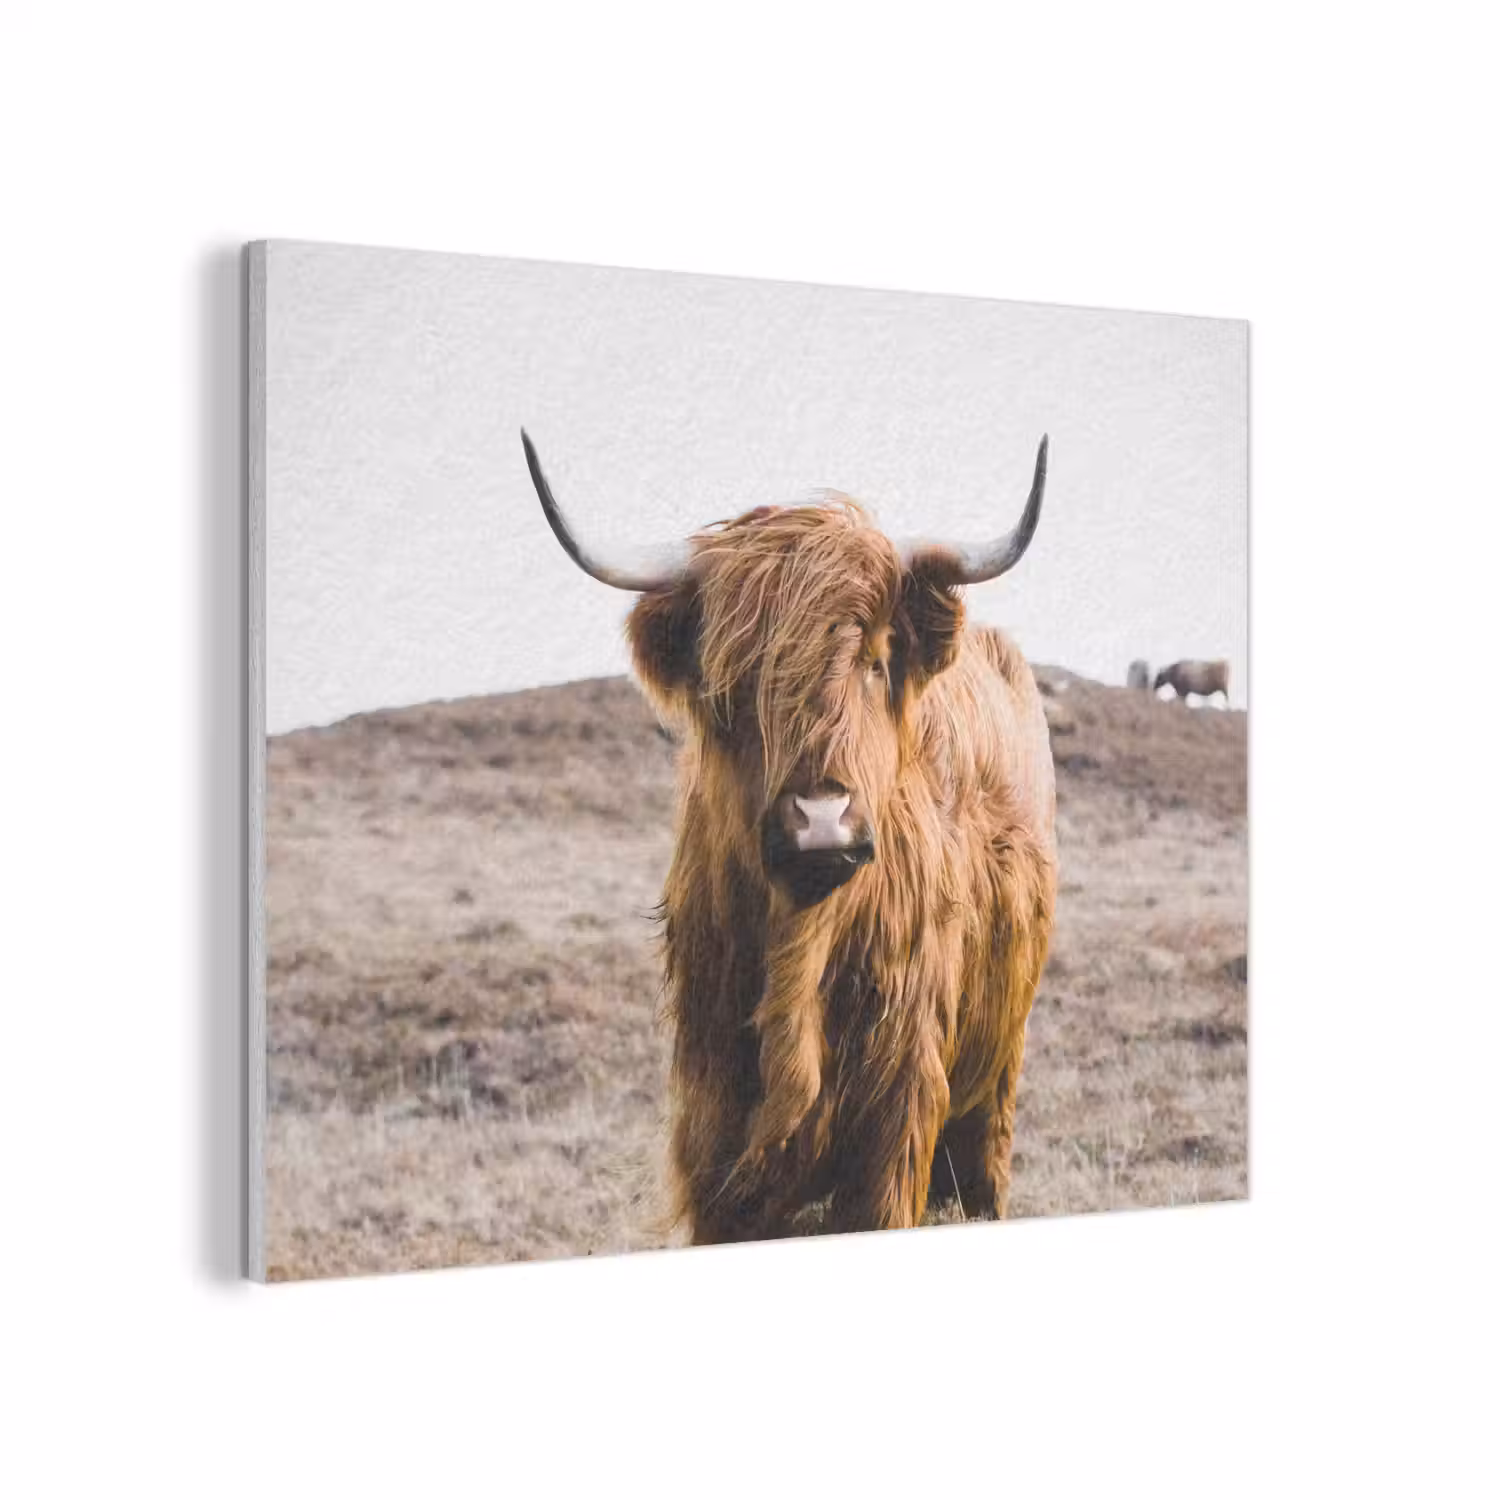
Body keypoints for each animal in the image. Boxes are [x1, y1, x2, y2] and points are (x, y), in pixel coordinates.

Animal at [522, 430, 1058, 1243]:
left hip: (997, 1071)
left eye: (875, 661)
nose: (821, 819)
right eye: (732, 682)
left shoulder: (896, 1119)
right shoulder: (712, 1125)